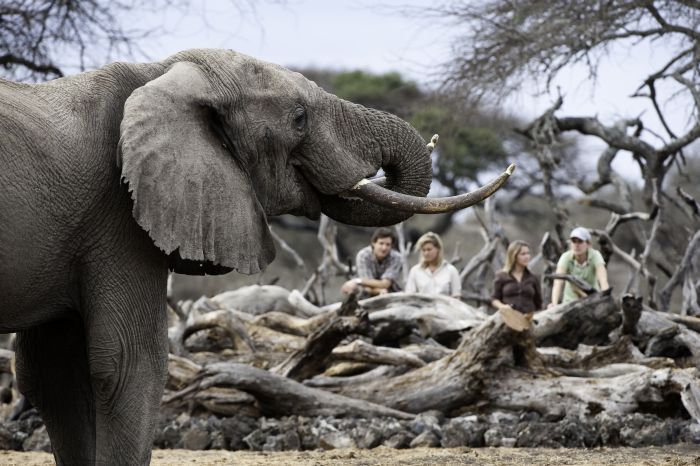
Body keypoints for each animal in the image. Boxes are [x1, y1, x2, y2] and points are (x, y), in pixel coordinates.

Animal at [0, 47, 512, 462]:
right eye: (299, 117)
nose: (507, 166)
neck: (159, 73)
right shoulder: (117, 218)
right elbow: (127, 366)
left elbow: (55, 377)